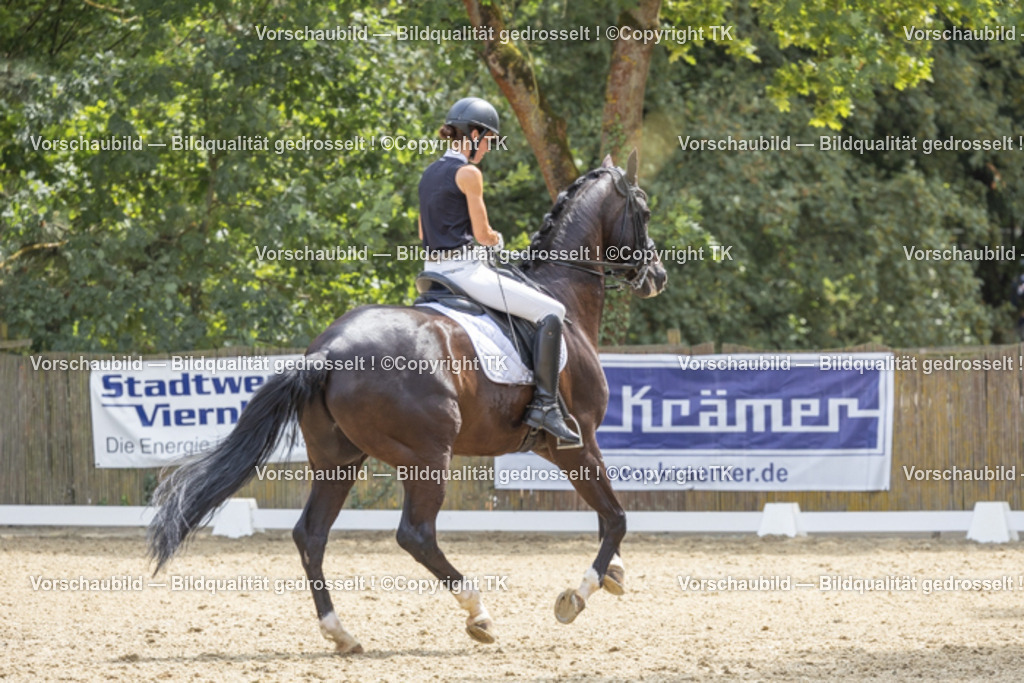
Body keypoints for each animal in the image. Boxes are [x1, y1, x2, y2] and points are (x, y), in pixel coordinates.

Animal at [147, 149, 668, 653]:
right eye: (643, 211)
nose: (657, 276)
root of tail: (326, 352)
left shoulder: (559, 448)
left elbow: (606, 516)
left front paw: (615, 574)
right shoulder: (574, 441)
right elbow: (616, 517)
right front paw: (577, 595)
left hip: (338, 460)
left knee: (311, 533)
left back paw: (341, 633)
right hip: (427, 457)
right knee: (415, 533)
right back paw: (478, 613)